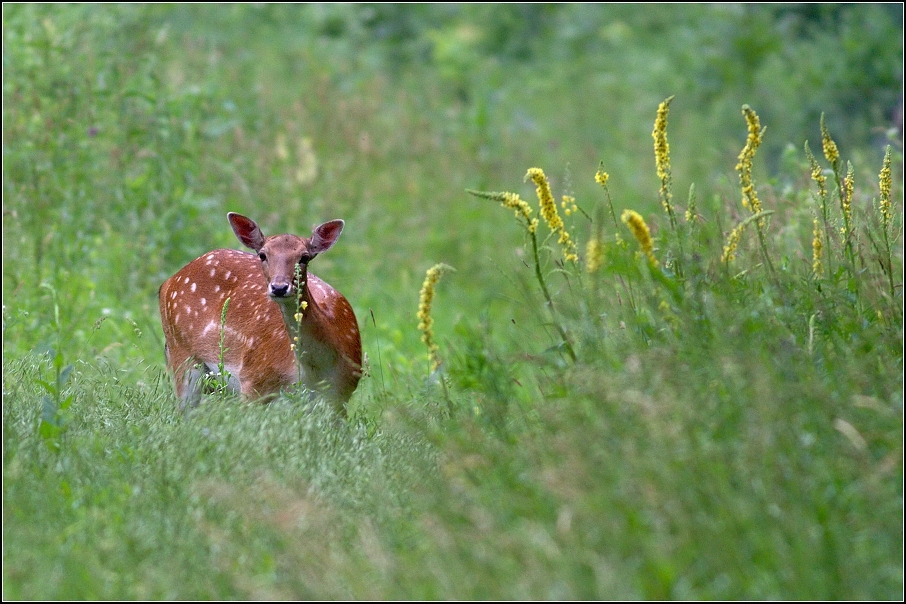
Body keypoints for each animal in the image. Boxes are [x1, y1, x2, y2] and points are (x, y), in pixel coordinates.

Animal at [159, 212, 360, 416]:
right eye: (262, 255)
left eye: (304, 257)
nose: (279, 287)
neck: (314, 372)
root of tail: (167, 283)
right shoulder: (252, 382)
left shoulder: (341, 396)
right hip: (182, 353)